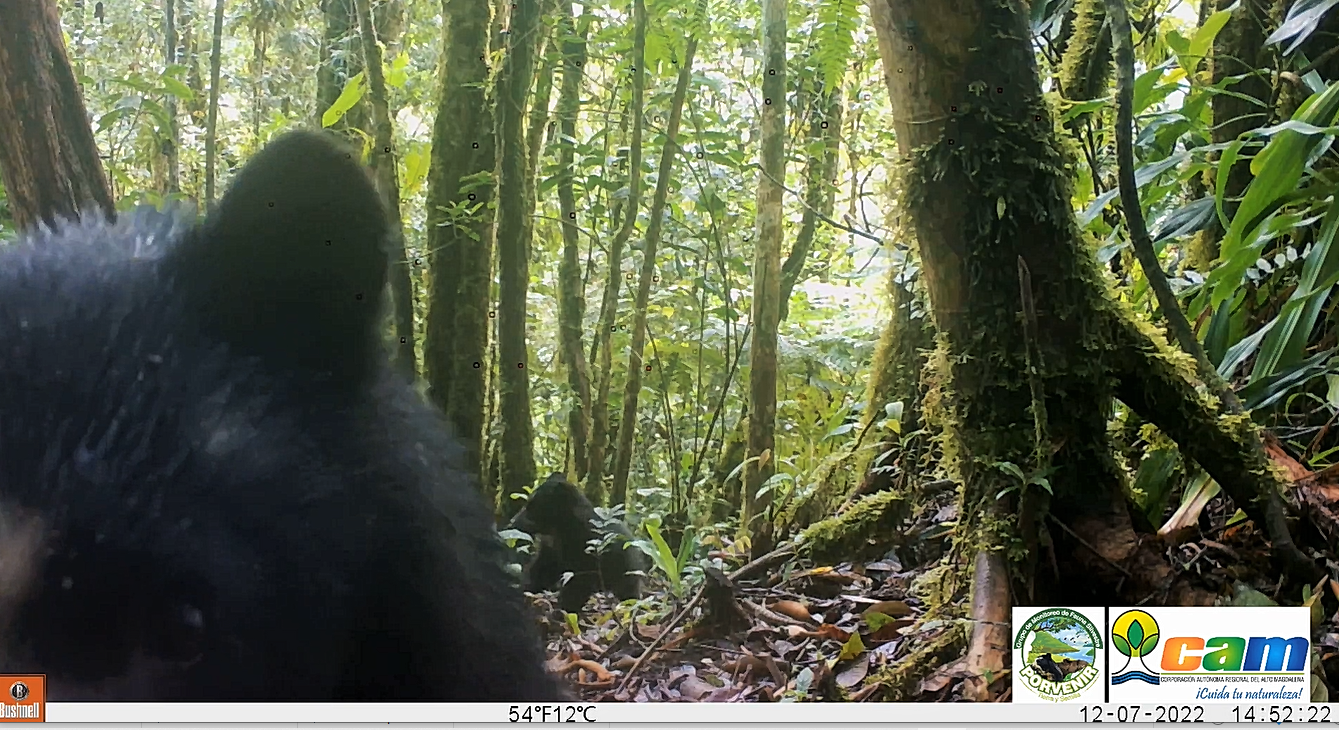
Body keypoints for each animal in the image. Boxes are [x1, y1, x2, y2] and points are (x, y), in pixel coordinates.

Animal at [503, 474, 645, 610]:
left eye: (532, 506)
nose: (512, 522)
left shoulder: (584, 555)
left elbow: (577, 587)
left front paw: (563, 611)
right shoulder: (551, 550)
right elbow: (542, 570)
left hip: (625, 572)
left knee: (628, 592)